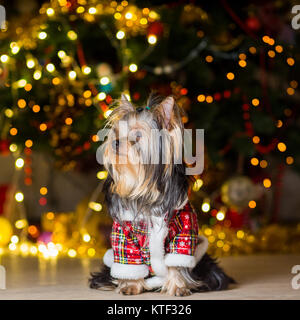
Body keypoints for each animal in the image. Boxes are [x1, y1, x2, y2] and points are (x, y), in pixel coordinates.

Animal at [89, 92, 234, 296]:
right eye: (116, 133)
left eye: (138, 135)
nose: (115, 142)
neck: (147, 191)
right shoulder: (124, 234)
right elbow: (129, 260)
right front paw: (131, 285)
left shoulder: (184, 229)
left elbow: (177, 261)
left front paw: (177, 287)